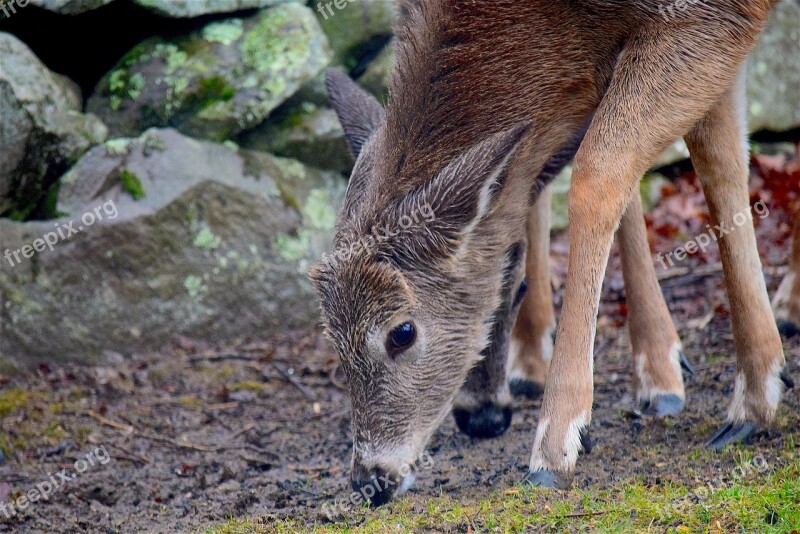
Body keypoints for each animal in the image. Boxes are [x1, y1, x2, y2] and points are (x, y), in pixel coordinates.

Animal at [310, 0, 792, 506]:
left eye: (401, 332)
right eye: (330, 334)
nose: (369, 479)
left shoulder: (709, 17)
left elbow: (601, 173)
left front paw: (557, 445)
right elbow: (721, 161)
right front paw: (745, 389)